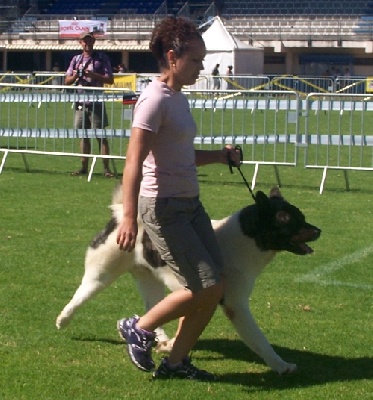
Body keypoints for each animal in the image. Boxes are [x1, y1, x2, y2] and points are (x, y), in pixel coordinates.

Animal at [56, 186, 320, 374]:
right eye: (288, 219)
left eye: (302, 217)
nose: (319, 230)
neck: (244, 239)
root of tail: (121, 214)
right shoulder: (235, 305)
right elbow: (259, 340)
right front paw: (281, 365)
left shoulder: (201, 295)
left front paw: (170, 346)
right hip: (100, 276)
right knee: (79, 296)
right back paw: (63, 320)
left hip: (151, 281)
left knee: (151, 308)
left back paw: (151, 336)